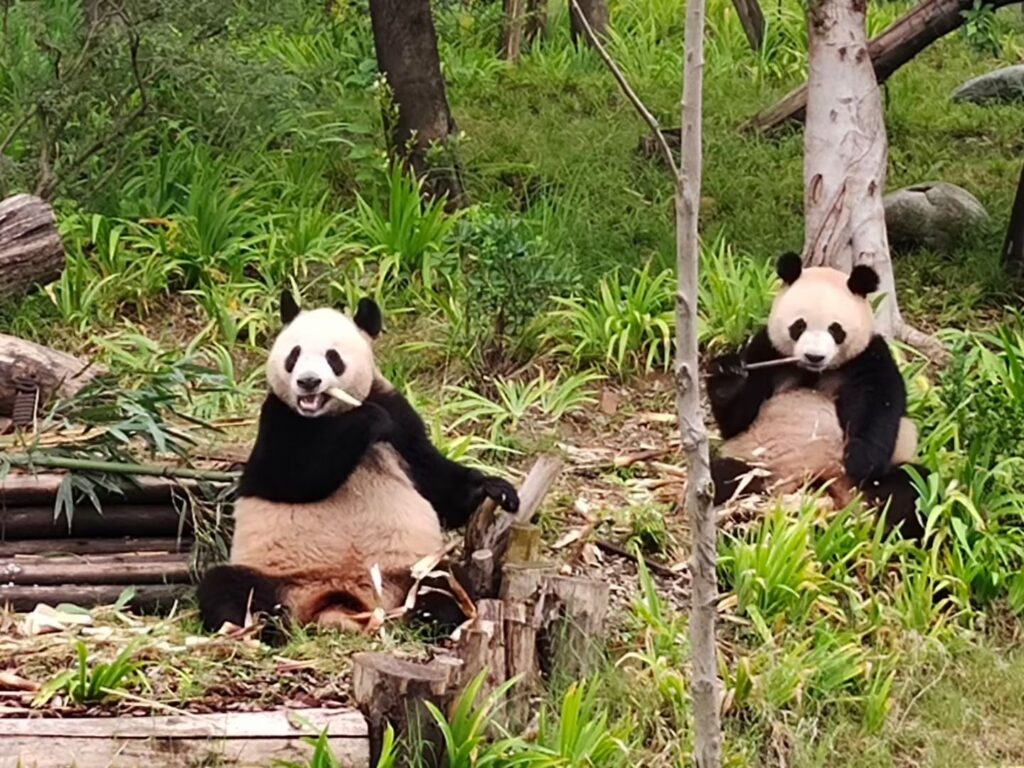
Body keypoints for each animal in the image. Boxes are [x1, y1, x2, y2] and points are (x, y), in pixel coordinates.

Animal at [197, 290, 520, 638]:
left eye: (333, 357)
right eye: (294, 355)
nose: (308, 382)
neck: (329, 415)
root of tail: (339, 601)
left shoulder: (400, 416)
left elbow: (435, 480)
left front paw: (497, 490)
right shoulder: (278, 417)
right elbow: (289, 477)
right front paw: (369, 419)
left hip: (407, 571)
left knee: (447, 580)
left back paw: (432, 617)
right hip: (276, 574)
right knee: (226, 587)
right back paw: (261, 626)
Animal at [704, 253, 929, 540]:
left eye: (836, 330)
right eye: (799, 326)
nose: (814, 356)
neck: (813, 372)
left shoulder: (869, 358)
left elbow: (878, 408)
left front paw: (860, 459)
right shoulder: (766, 351)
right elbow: (736, 420)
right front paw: (727, 375)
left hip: (874, 484)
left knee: (910, 488)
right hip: (760, 463)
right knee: (724, 477)